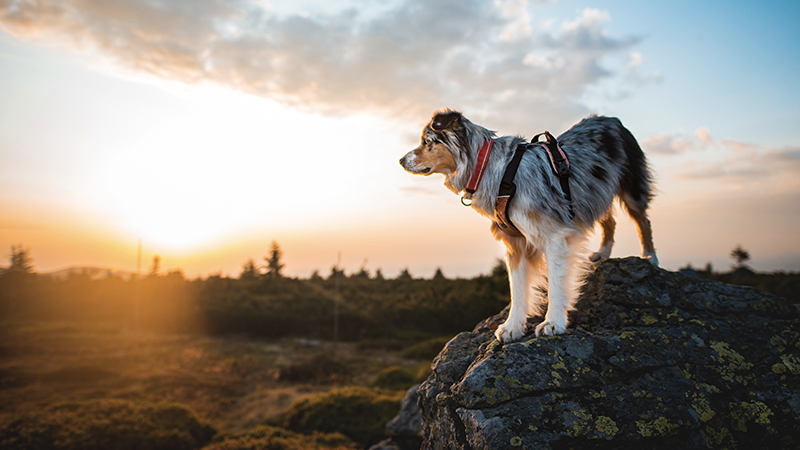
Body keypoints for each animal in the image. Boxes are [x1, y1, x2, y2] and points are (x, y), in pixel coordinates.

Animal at [400, 109, 656, 342]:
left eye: (426, 142)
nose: (401, 160)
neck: (492, 169)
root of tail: (611, 119)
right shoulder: (515, 241)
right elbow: (518, 289)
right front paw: (512, 326)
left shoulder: (555, 234)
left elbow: (555, 282)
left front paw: (554, 323)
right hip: (593, 192)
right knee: (609, 219)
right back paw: (603, 253)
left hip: (629, 184)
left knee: (642, 220)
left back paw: (649, 256)